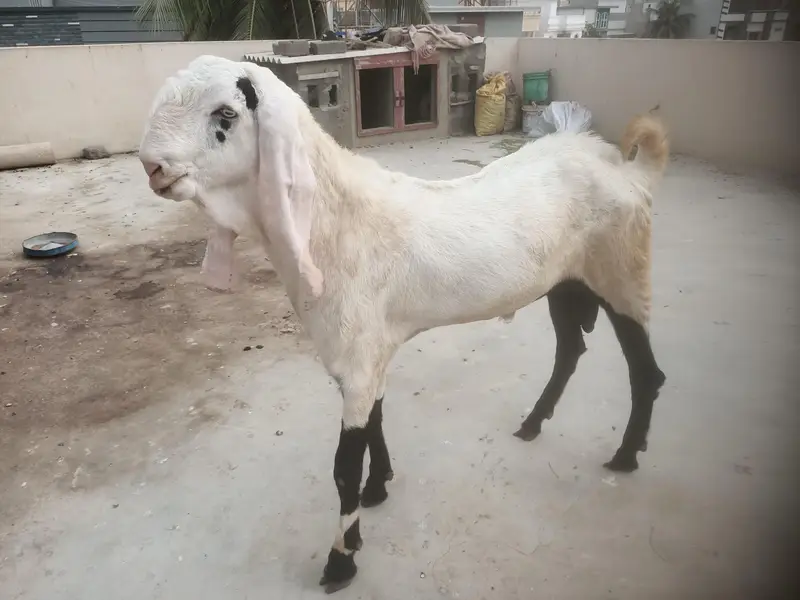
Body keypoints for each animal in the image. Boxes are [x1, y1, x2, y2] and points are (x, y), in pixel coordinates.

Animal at [139, 55, 669, 593]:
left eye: (225, 113)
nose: (152, 166)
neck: (334, 223)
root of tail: (629, 170)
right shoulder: (368, 352)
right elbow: (376, 419)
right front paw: (379, 488)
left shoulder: (356, 356)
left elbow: (344, 467)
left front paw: (342, 559)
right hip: (568, 281)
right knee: (570, 352)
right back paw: (533, 424)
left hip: (623, 273)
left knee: (646, 372)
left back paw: (625, 455)